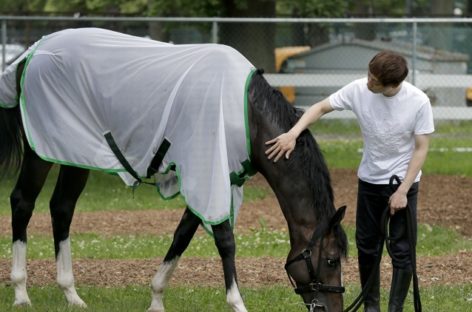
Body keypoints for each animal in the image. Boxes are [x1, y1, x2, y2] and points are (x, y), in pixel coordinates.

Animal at [0, 39, 346, 312]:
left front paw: (156, 299)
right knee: (23, 202)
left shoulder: (208, 181)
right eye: (331, 260)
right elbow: (225, 241)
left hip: (74, 155)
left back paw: (71, 294)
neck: (245, 112)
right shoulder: (208, 176)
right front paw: (237, 303)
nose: (334, 308)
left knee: (62, 208)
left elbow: (182, 235)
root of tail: (32, 52)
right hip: (40, 153)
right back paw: (21, 293)